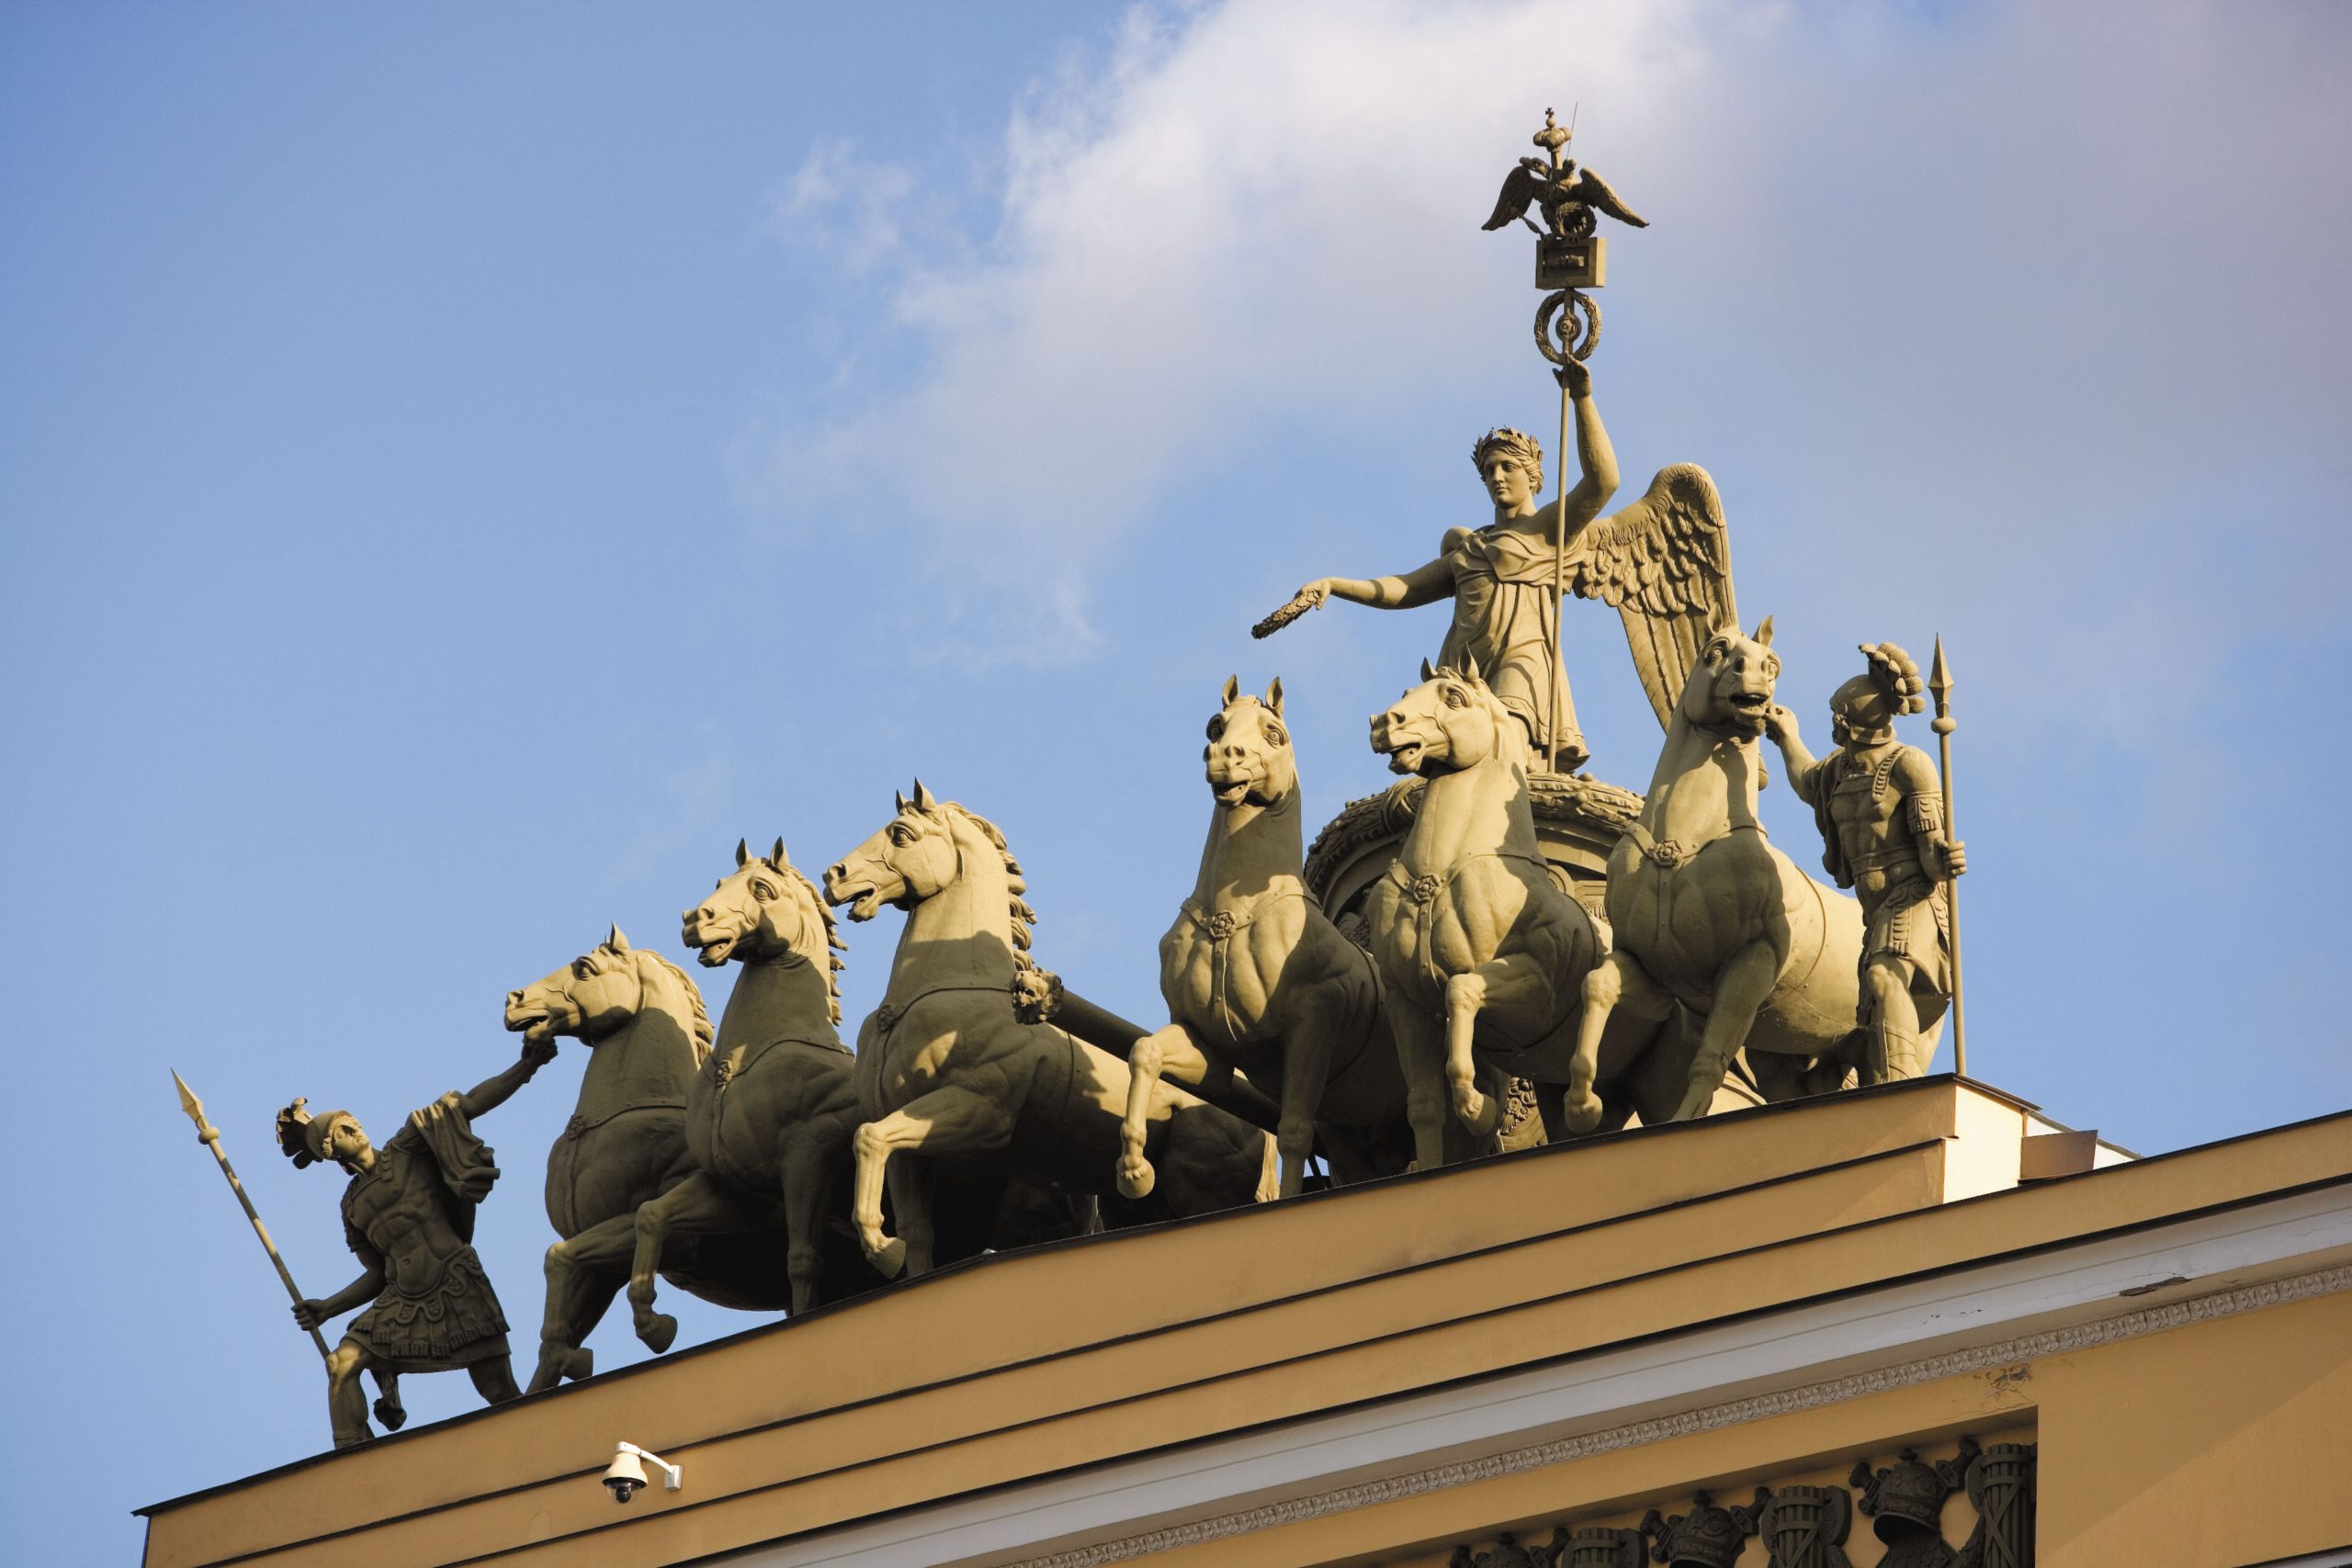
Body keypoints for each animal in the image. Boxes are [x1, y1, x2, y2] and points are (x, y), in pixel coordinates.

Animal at [501, 926, 795, 1392]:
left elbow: (642, 1226)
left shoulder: (676, 1238)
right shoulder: (596, 1267)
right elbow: (559, 1264)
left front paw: (656, 1328)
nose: (514, 1001)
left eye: (585, 968)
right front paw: (565, 1363)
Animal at [818, 780, 1279, 1279]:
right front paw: (894, 1253)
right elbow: (910, 1216)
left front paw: (883, 1249)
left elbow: (869, 1138)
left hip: (1202, 1185)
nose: (834, 876)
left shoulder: (980, 1109)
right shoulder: (909, 1138)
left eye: (901, 835)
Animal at [1114, 677, 1420, 1203]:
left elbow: (1293, 1129)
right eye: (1215, 726)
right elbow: (1144, 1052)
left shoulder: (1313, 1024)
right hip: (1356, 1127)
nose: (1224, 758)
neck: (1232, 915)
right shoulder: (1212, 1050)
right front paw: (1135, 1172)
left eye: (1274, 734)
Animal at [1363, 658, 1618, 1166]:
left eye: (1454, 698)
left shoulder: (1533, 984)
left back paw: (1585, 1105)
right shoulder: (1406, 1000)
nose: (1384, 724)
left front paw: (1477, 1108)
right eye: (1407, 692)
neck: (1440, 869)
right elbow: (1424, 1105)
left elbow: (1460, 991)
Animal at [1561, 620, 1871, 1133]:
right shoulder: (1652, 969)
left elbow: (1709, 1059)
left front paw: (1684, 1121)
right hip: (1784, 1053)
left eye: (1773, 663)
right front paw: (1583, 1105)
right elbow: (1596, 985)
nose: (1757, 680)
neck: (1684, 838)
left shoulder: (1751, 962)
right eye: (1716, 649)